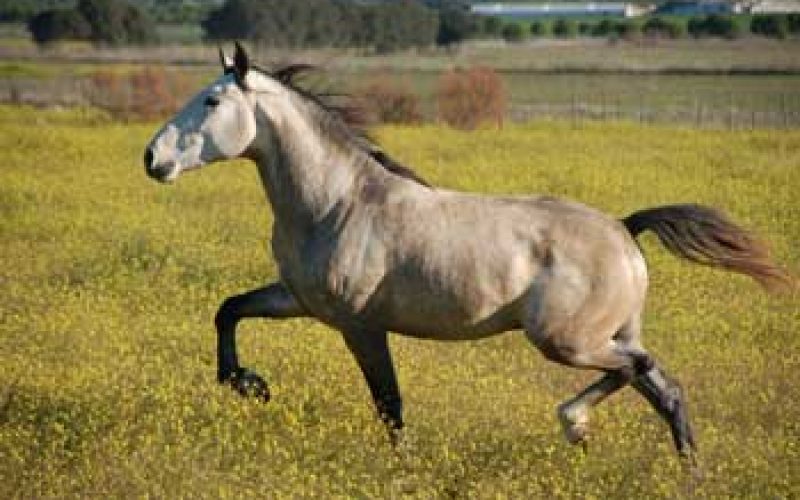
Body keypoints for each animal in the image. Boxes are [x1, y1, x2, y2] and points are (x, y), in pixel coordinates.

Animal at [145, 44, 792, 464]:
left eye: (211, 101)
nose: (152, 159)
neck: (337, 203)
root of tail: (625, 230)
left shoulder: (360, 325)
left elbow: (389, 404)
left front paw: (401, 468)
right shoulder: (299, 300)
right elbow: (229, 310)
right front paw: (250, 385)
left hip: (567, 341)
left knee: (640, 371)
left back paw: (575, 425)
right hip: (607, 335)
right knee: (664, 388)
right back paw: (685, 470)